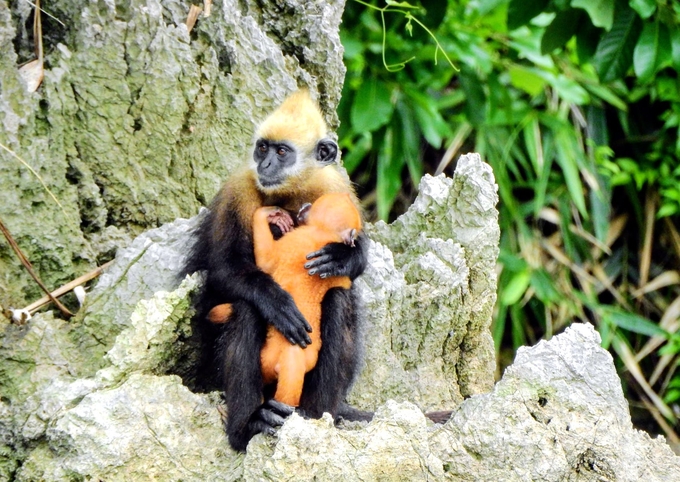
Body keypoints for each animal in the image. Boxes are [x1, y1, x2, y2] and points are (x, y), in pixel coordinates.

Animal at [207, 192, 364, 406]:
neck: (326, 235)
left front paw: (268, 214)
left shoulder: (298, 239)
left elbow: (266, 262)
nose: (305, 206)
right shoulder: (338, 273)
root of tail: (294, 359)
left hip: (266, 362)